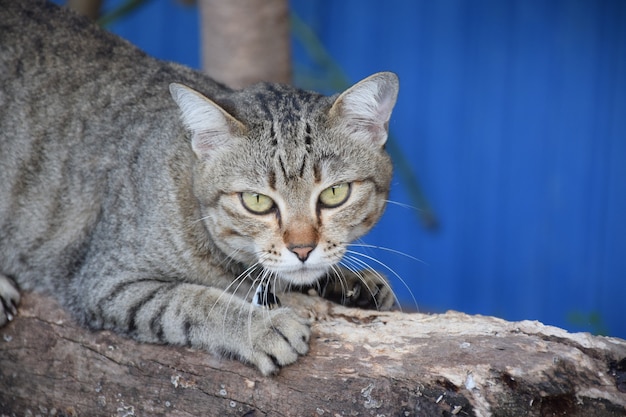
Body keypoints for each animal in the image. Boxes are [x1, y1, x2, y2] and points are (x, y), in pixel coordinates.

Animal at [0, 0, 398, 374]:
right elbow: (192, 301)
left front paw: (350, 282)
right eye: (257, 201)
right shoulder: (107, 283)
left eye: (334, 194)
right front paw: (260, 327)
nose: (302, 249)